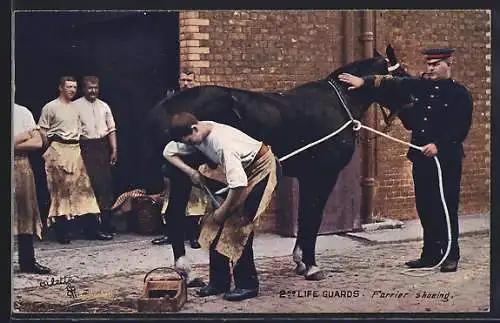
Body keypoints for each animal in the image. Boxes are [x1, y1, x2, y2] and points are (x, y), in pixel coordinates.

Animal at [140, 45, 406, 280]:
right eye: (401, 74)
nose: (412, 99)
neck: (338, 102)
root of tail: (163, 108)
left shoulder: (308, 177)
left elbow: (305, 216)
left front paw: (300, 261)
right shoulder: (323, 176)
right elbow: (313, 217)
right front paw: (311, 265)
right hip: (181, 176)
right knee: (174, 215)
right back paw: (188, 271)